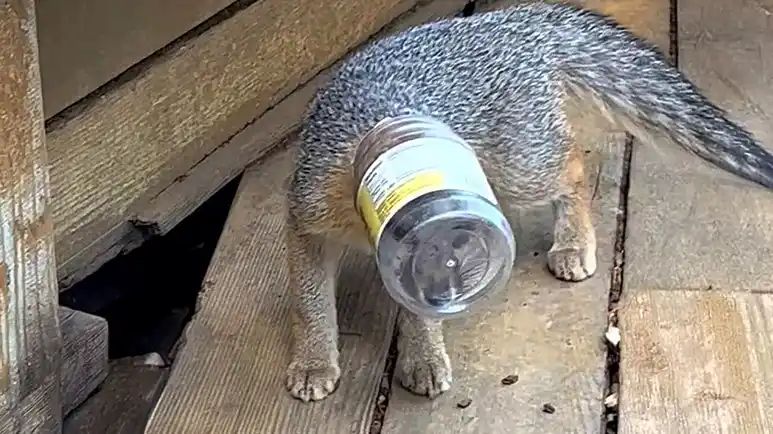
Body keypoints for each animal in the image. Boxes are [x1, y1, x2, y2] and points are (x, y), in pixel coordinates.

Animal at [283, 1, 773, 402]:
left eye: (447, 259)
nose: (453, 285)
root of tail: (514, 20)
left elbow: (412, 315)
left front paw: (423, 355)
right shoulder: (306, 221)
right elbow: (312, 306)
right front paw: (315, 361)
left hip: (522, 171)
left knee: (574, 168)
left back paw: (573, 243)